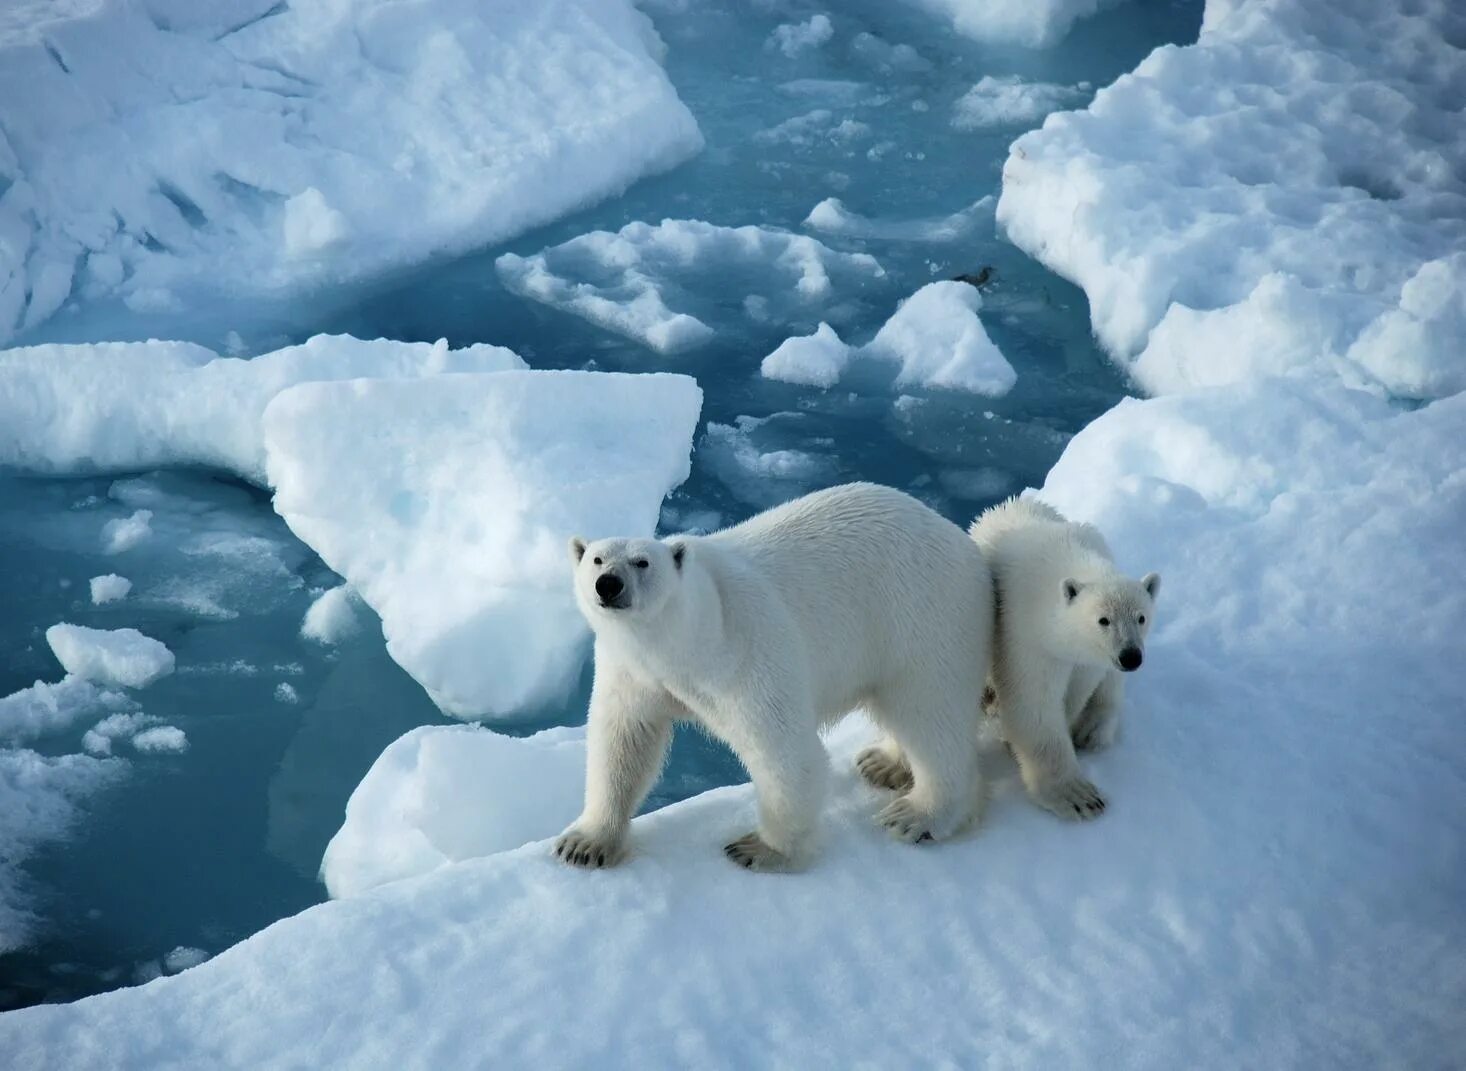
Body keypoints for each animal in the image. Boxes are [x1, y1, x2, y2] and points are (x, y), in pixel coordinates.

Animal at [554, 486, 991, 873]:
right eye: (597, 559)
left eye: (642, 562)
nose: (609, 584)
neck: (689, 634)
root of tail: (963, 541)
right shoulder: (633, 671)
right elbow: (624, 742)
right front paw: (584, 844)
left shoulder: (745, 653)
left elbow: (784, 749)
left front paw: (760, 849)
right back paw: (883, 763)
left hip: (922, 617)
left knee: (929, 713)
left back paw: (918, 814)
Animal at [967, 495, 1161, 820]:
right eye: (1103, 620)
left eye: (1141, 617)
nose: (1130, 657)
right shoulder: (1024, 630)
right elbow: (1033, 700)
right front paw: (1077, 796)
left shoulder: (1087, 658)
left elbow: (1079, 688)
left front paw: (1073, 727)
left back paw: (1092, 731)